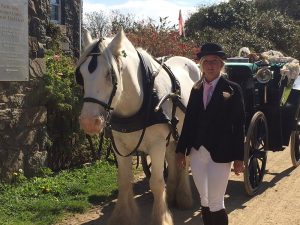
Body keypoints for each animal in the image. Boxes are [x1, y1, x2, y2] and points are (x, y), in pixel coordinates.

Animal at [76, 28, 200, 225]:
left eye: (110, 74)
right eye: (80, 75)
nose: (89, 122)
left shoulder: (157, 144)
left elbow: (156, 183)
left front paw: (161, 217)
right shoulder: (120, 146)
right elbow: (124, 181)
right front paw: (122, 216)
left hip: (185, 132)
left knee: (184, 161)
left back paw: (183, 197)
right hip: (171, 135)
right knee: (172, 156)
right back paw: (171, 194)